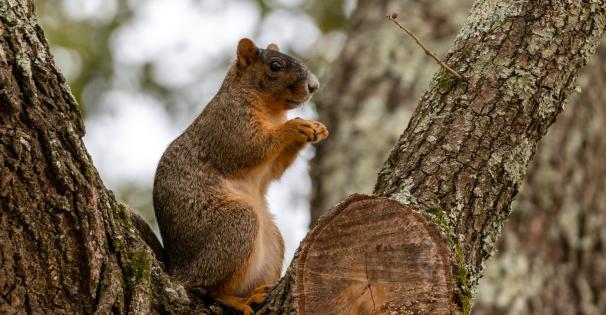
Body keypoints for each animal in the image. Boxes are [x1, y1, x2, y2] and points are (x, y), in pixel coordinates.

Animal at [154, 37, 330, 314]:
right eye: (275, 65)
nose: (314, 86)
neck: (272, 112)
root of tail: (179, 270)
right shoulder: (229, 123)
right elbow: (250, 147)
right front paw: (294, 126)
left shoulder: (269, 163)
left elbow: (274, 169)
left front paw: (317, 128)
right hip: (236, 225)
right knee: (209, 289)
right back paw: (240, 301)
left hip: (272, 240)